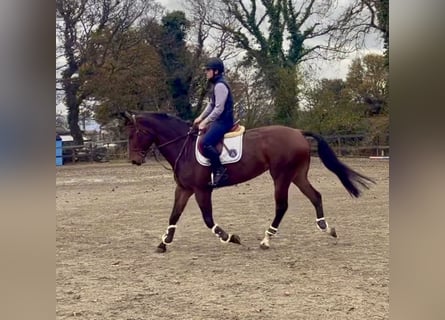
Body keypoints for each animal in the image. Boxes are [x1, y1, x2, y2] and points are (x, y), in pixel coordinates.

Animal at [117, 111, 372, 254]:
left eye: (134, 133)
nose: (134, 160)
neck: (184, 147)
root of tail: (298, 132)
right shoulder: (184, 189)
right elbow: (174, 215)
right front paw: (164, 243)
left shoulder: (201, 190)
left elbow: (208, 220)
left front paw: (230, 238)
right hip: (297, 175)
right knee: (315, 196)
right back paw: (327, 228)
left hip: (281, 176)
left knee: (282, 206)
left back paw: (267, 240)